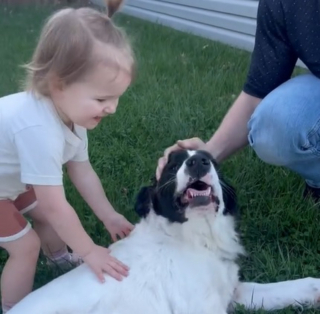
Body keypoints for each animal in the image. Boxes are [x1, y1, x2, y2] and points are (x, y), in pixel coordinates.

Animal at [8, 150, 320, 314]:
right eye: (172, 164)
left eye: (212, 161)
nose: (198, 162)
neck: (192, 238)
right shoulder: (204, 309)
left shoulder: (232, 292)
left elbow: (294, 286)